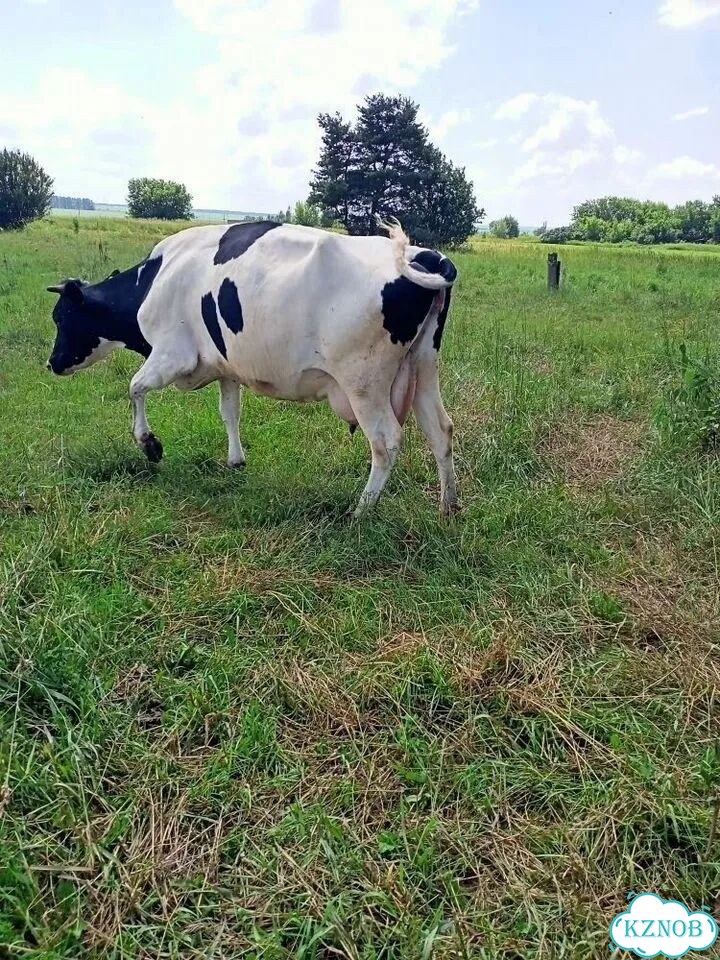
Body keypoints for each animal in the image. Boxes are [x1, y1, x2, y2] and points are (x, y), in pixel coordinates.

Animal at [46, 219, 458, 516]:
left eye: (62, 317)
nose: (52, 363)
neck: (154, 279)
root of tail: (426, 256)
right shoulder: (227, 367)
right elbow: (230, 411)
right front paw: (236, 461)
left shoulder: (174, 353)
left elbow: (134, 387)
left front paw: (150, 445)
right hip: (424, 367)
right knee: (441, 430)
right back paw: (448, 507)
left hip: (363, 382)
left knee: (386, 441)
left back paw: (362, 511)